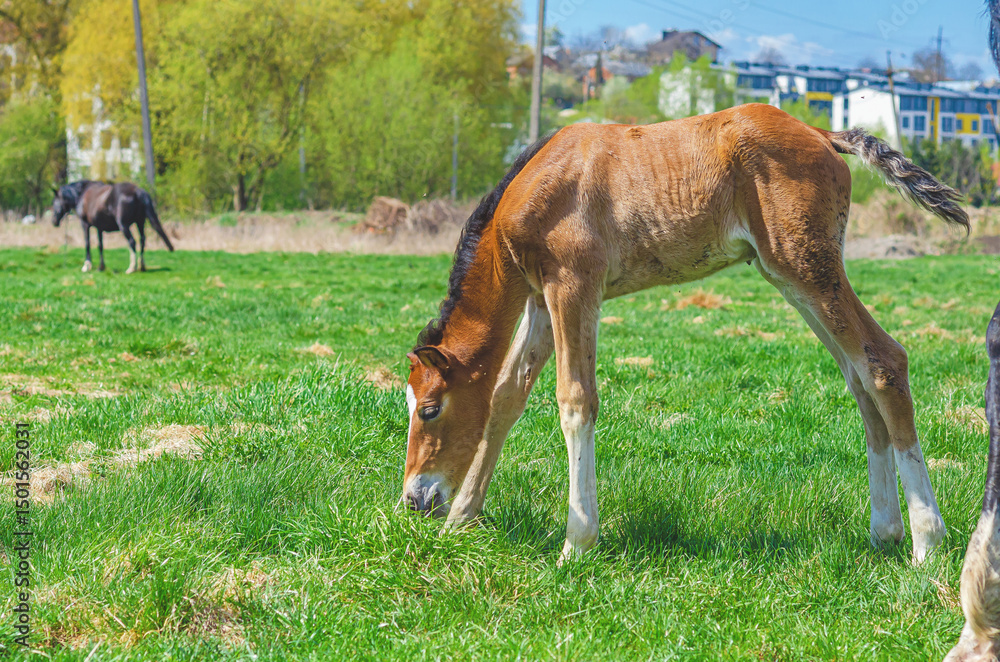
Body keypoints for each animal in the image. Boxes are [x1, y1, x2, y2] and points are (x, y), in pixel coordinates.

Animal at [402, 102, 969, 565]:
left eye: (429, 409)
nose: (414, 499)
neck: (535, 183)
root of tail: (820, 132)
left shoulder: (573, 285)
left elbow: (576, 399)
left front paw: (578, 543)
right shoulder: (543, 301)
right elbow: (505, 396)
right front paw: (464, 517)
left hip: (806, 267)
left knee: (883, 361)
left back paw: (927, 541)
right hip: (790, 275)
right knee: (858, 377)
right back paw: (886, 532)